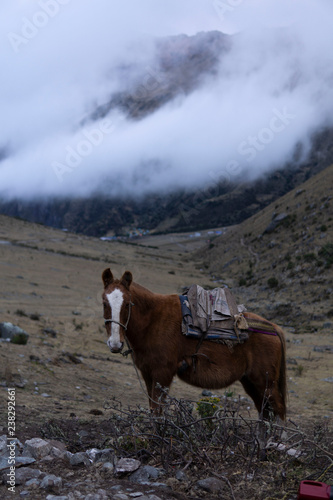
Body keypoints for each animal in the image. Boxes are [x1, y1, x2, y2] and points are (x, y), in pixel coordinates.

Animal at [101, 268, 286, 420]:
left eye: (127, 304)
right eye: (104, 303)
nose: (115, 343)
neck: (153, 321)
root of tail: (274, 328)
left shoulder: (163, 373)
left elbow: (158, 411)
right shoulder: (148, 374)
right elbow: (153, 409)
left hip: (266, 383)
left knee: (278, 412)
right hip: (251, 382)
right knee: (265, 413)